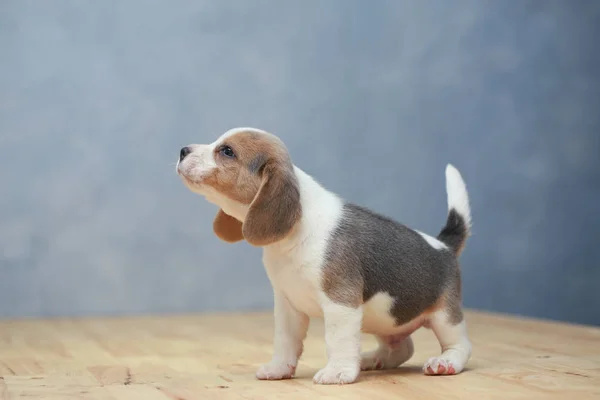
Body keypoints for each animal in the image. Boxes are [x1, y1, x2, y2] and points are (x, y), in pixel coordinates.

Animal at [176, 127, 472, 384]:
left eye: (227, 151)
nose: (182, 150)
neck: (294, 235)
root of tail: (444, 246)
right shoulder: (288, 305)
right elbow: (285, 341)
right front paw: (279, 368)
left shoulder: (341, 302)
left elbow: (337, 340)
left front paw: (338, 372)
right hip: (385, 319)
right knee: (402, 348)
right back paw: (371, 359)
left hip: (444, 317)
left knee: (461, 345)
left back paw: (445, 362)